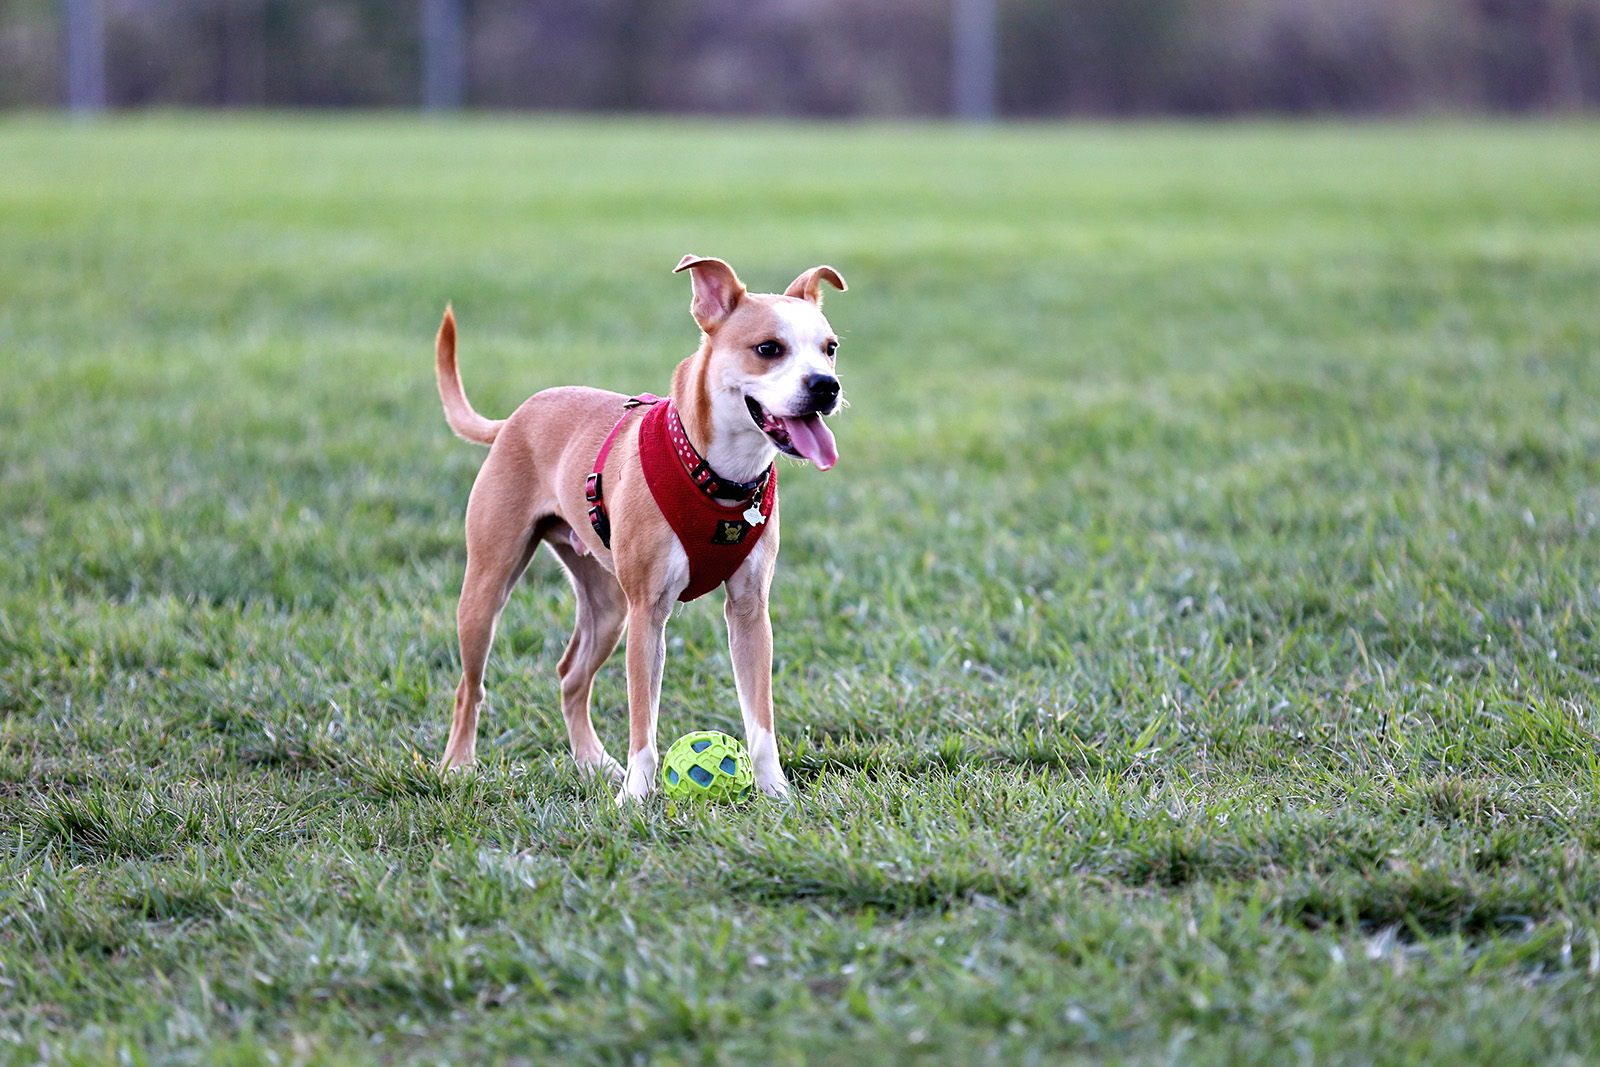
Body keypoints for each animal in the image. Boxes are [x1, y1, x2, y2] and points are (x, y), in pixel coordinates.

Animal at [425, 255, 851, 799]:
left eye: (830, 349)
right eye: (768, 349)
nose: (826, 386)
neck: (717, 475)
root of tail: (514, 418)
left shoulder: (751, 613)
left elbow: (760, 718)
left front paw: (774, 791)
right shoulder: (648, 612)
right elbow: (643, 721)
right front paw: (636, 796)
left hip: (607, 608)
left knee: (570, 677)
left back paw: (592, 763)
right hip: (487, 588)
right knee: (470, 686)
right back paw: (458, 764)